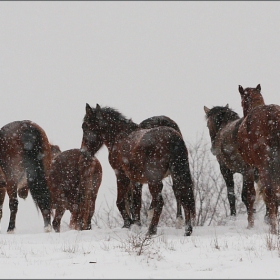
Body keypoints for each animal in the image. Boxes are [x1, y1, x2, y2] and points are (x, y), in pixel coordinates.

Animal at [80, 104, 195, 235]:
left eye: (85, 127)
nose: (83, 152)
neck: (119, 137)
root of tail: (173, 137)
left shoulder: (121, 175)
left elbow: (120, 202)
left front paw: (130, 224)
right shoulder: (136, 179)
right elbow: (135, 202)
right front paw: (135, 224)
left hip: (154, 180)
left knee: (160, 202)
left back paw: (151, 230)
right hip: (177, 174)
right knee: (184, 196)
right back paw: (187, 230)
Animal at [237, 84, 280, 233]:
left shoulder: (248, 167)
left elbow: (250, 194)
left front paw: (250, 224)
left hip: (264, 165)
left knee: (270, 192)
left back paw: (273, 228)